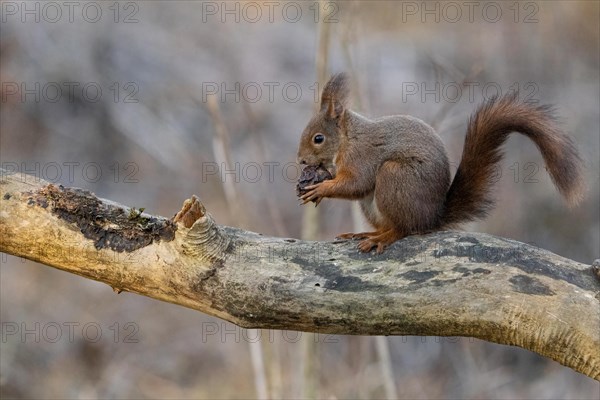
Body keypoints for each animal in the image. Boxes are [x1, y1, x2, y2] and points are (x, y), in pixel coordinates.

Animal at [298, 73, 584, 253]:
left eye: (318, 138)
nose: (300, 160)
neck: (347, 139)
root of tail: (431, 218)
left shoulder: (362, 156)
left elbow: (356, 183)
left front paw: (320, 188)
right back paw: (366, 234)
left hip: (394, 176)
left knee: (402, 229)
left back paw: (381, 239)